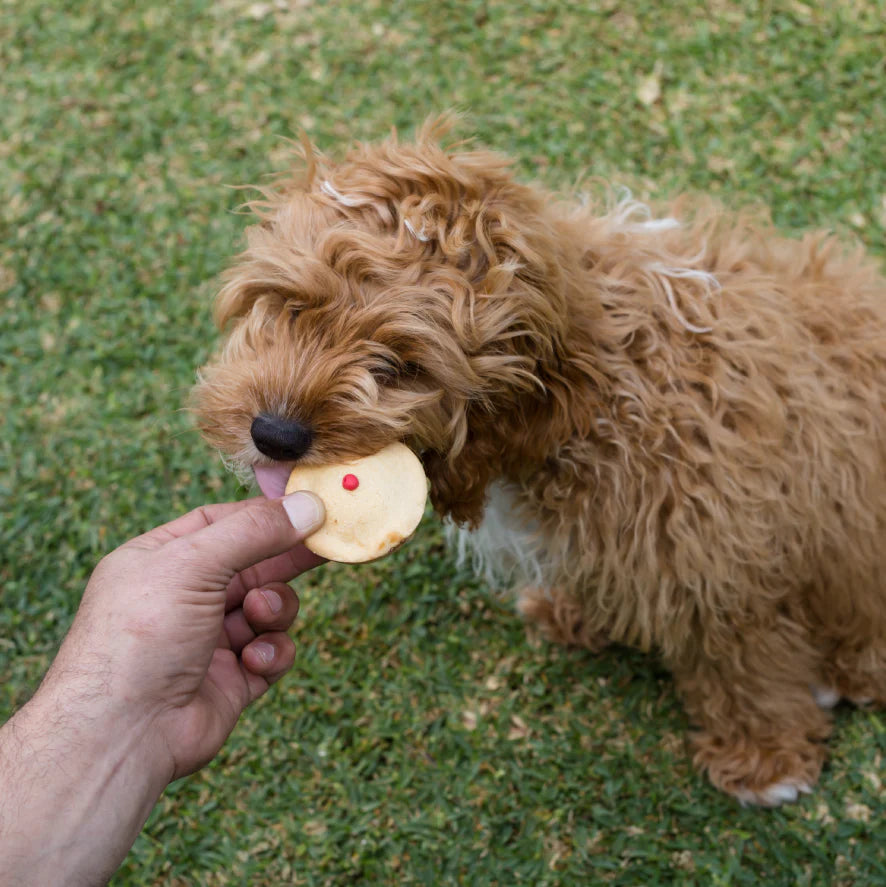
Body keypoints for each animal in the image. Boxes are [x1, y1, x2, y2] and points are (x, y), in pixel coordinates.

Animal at [194, 118, 886, 804]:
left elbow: (741, 656)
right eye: (292, 305)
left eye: (402, 365)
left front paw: (765, 759)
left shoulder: (719, 547)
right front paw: (574, 608)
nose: (274, 435)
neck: (593, 391)